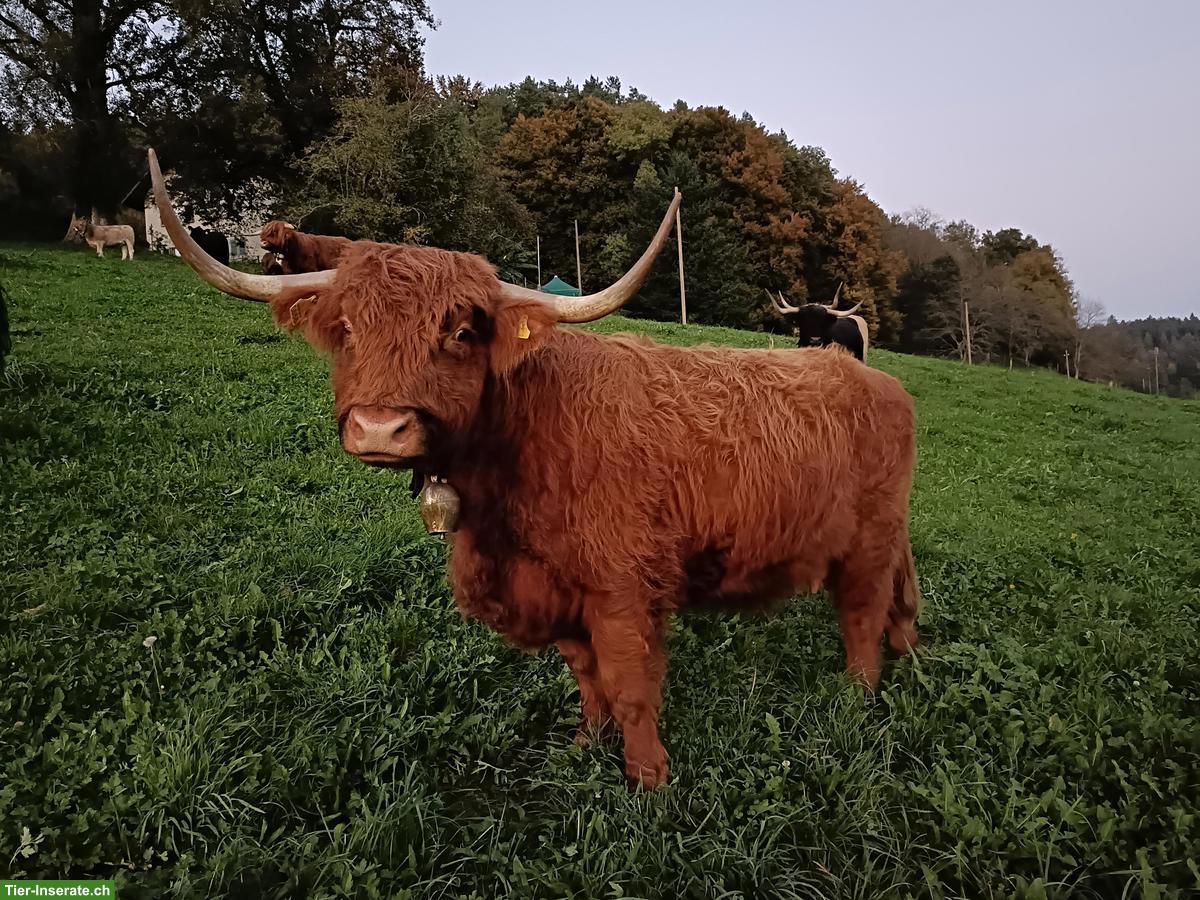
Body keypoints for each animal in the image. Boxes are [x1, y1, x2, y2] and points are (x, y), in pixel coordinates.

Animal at [149, 148, 920, 789]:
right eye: (345, 331)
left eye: (462, 331)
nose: (380, 428)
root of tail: (864, 373)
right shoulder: (557, 592)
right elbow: (587, 679)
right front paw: (586, 745)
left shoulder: (622, 588)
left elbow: (630, 687)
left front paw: (649, 782)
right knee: (897, 589)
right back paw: (908, 648)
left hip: (866, 540)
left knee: (860, 613)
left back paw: (857, 697)